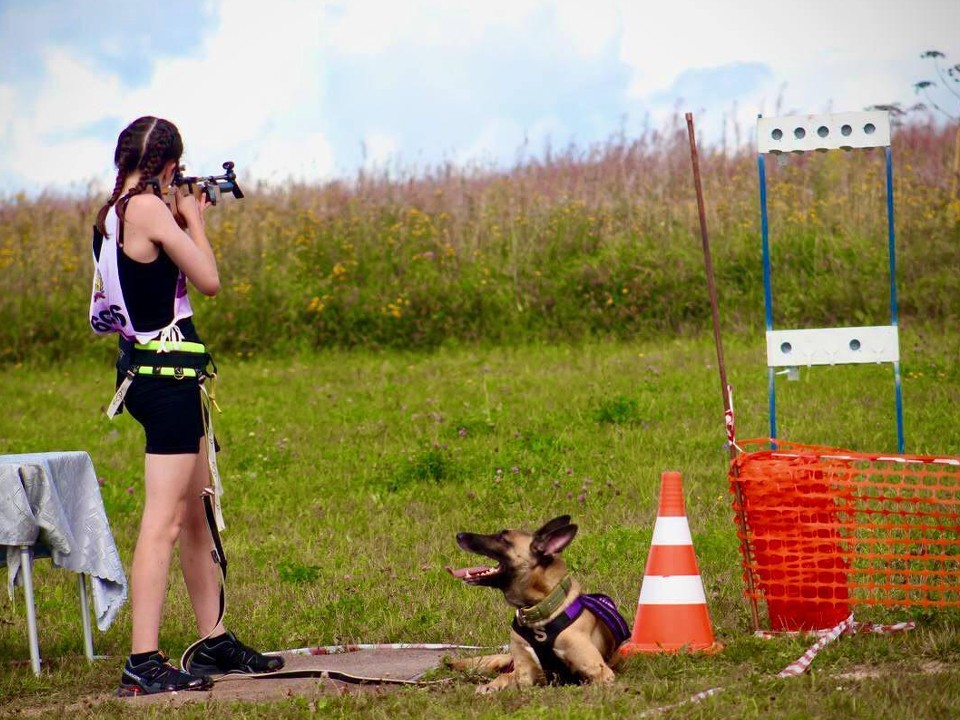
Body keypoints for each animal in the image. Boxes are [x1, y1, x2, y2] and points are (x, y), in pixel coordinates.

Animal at [444, 512, 628, 692]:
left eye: (503, 538)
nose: (459, 535)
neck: (539, 610)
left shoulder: (601, 674)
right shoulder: (525, 674)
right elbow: (511, 680)